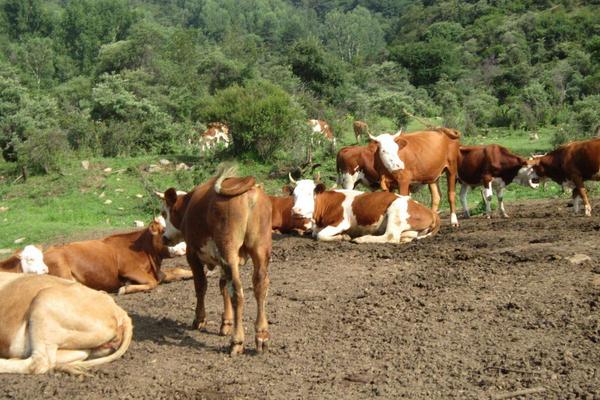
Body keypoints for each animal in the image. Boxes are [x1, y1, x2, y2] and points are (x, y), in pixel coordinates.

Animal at [159, 166, 272, 356]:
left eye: (164, 213)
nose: (164, 238)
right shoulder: (222, 260)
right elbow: (222, 286)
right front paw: (225, 323)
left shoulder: (193, 254)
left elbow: (201, 286)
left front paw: (199, 319)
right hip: (260, 249)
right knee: (260, 287)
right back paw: (262, 335)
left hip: (229, 251)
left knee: (237, 293)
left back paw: (237, 341)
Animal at [288, 177, 438, 244]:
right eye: (294, 194)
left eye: (309, 194)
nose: (296, 210)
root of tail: (430, 211)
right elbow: (315, 233)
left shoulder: (341, 222)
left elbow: (320, 235)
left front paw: (343, 236)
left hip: (396, 210)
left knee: (390, 237)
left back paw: (361, 239)